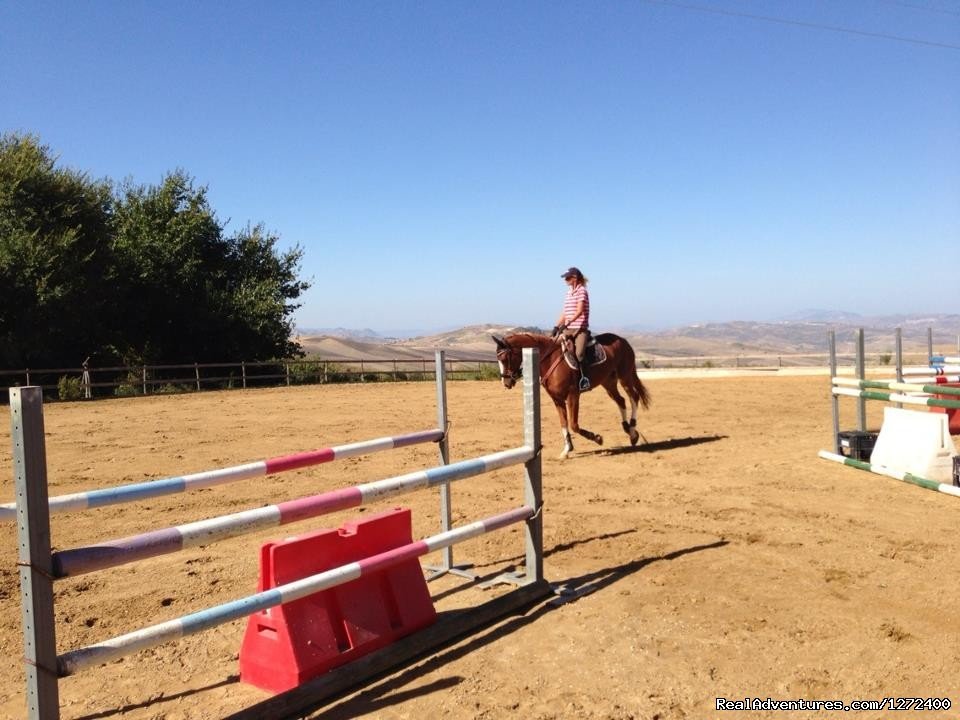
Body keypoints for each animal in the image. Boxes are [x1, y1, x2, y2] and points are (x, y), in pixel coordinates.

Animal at [496, 330, 652, 456]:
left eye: (504, 359)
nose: (506, 383)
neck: (549, 359)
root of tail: (623, 340)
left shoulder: (573, 395)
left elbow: (574, 424)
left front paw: (597, 438)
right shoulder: (557, 399)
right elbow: (563, 423)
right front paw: (566, 450)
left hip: (625, 376)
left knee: (634, 397)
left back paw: (632, 430)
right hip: (608, 383)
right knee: (621, 401)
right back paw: (628, 430)